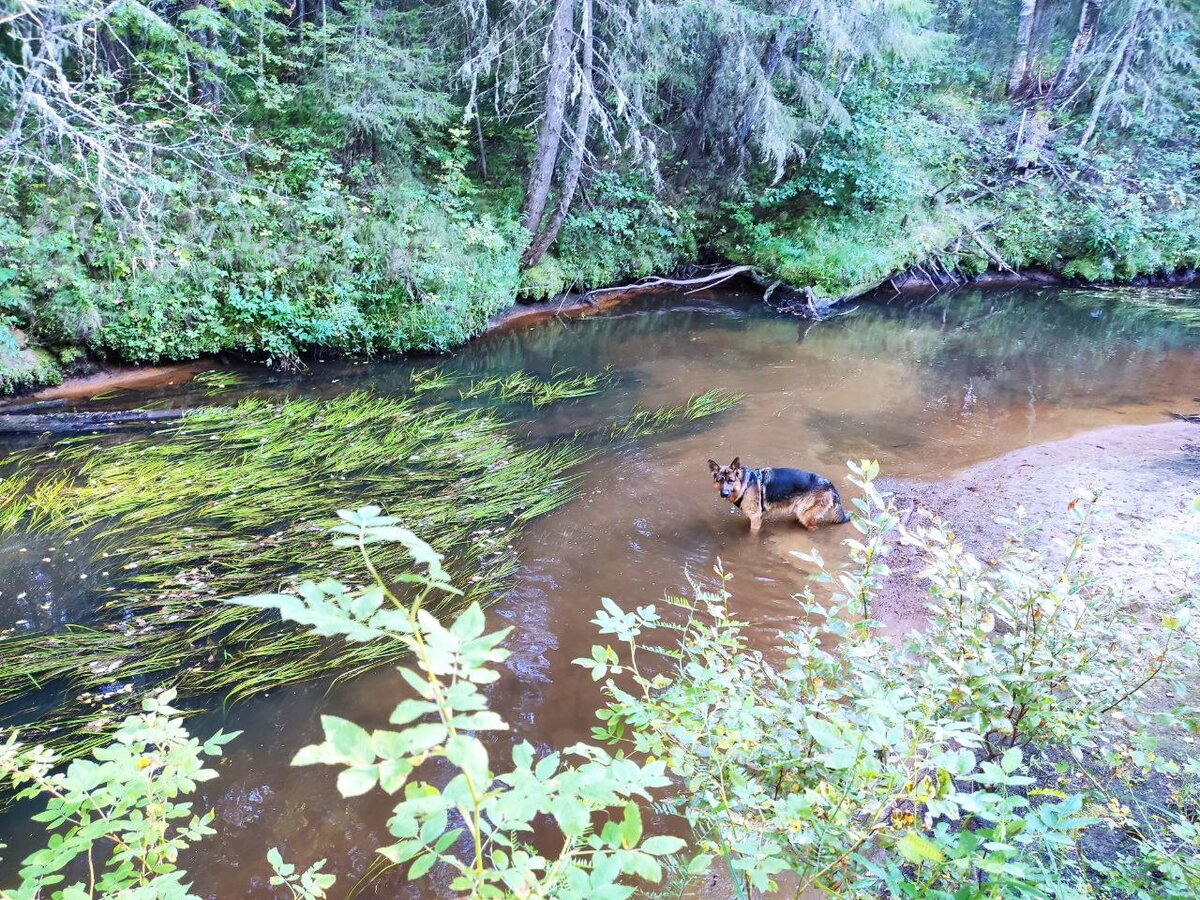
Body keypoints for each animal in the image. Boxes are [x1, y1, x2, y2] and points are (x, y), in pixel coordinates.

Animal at [705, 460, 849, 532]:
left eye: (730, 480)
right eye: (720, 481)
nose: (724, 493)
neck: (745, 483)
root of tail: (830, 484)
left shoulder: (756, 518)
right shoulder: (754, 515)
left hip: (805, 514)